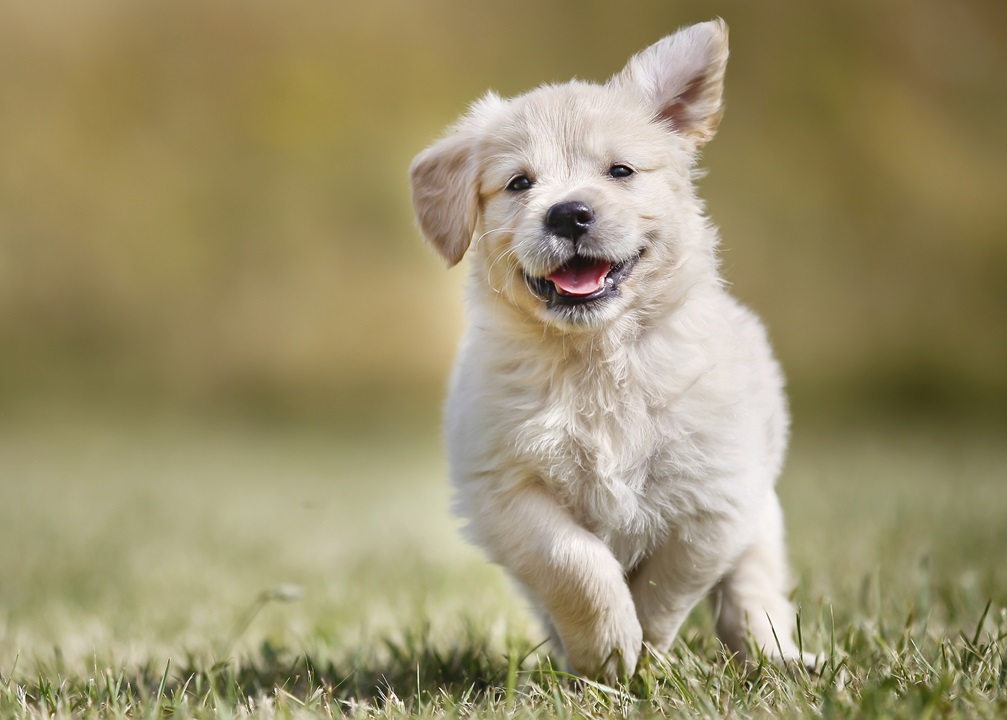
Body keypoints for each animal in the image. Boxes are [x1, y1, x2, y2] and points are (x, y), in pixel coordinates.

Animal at [408, 16, 809, 680]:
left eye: (620, 172)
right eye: (519, 183)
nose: (569, 214)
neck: (595, 356)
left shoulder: (714, 500)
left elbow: (666, 588)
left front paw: (642, 656)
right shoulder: (505, 489)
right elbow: (575, 565)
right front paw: (608, 653)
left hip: (762, 515)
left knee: (754, 590)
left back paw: (779, 657)